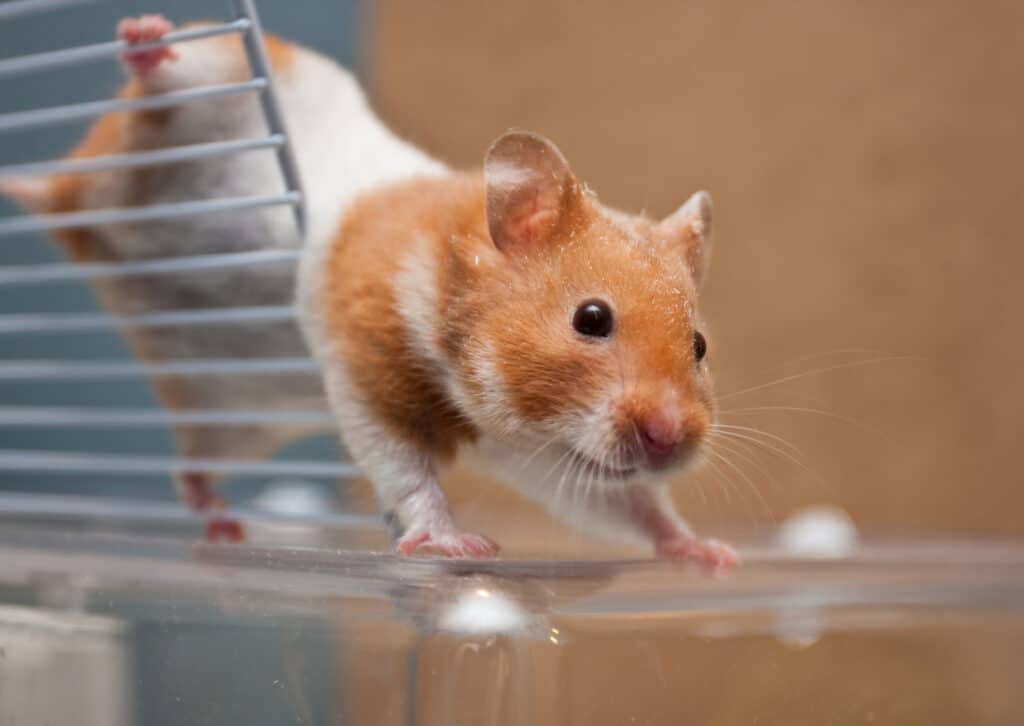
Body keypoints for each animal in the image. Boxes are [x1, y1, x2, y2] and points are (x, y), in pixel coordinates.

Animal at [1, 14, 440, 536]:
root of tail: (71, 195)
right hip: (215, 78)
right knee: (162, 83)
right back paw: (145, 36)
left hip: (234, 421)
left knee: (189, 469)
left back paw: (221, 521)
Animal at [296, 130, 737, 573]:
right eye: (591, 318)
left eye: (699, 345)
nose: (668, 437)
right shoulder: (367, 378)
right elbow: (407, 474)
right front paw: (463, 546)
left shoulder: (543, 457)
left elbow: (635, 504)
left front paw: (715, 553)